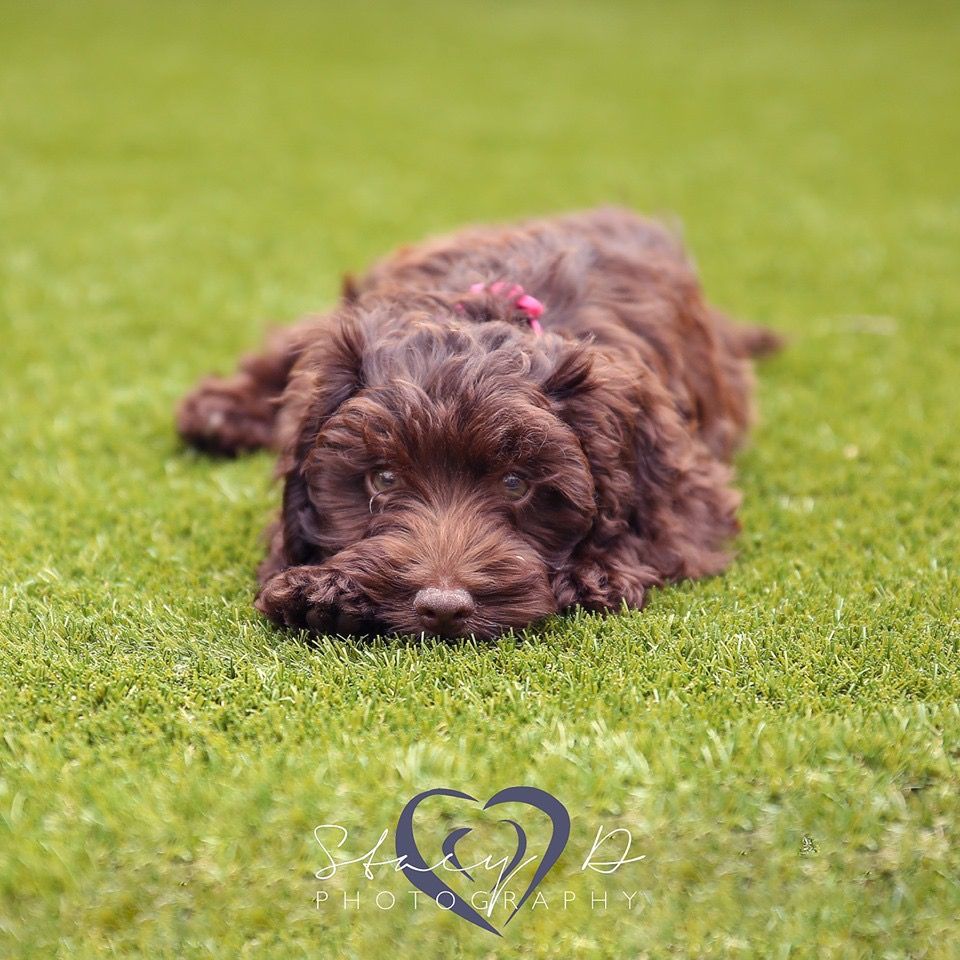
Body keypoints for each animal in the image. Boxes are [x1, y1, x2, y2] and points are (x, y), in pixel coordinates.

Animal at [178, 208, 780, 636]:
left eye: (515, 484)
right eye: (383, 479)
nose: (443, 608)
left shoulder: (687, 480)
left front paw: (593, 573)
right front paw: (319, 593)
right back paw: (218, 413)